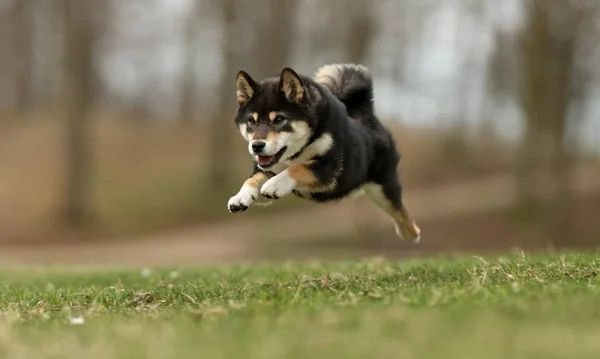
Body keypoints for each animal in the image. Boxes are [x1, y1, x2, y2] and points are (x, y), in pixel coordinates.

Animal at [227, 64, 420, 245]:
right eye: (251, 121)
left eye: (279, 119)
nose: (257, 146)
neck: (298, 150)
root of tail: (367, 117)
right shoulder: (267, 169)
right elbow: (252, 179)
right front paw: (241, 197)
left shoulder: (329, 168)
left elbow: (298, 168)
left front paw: (275, 183)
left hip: (383, 188)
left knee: (401, 215)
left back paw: (412, 235)